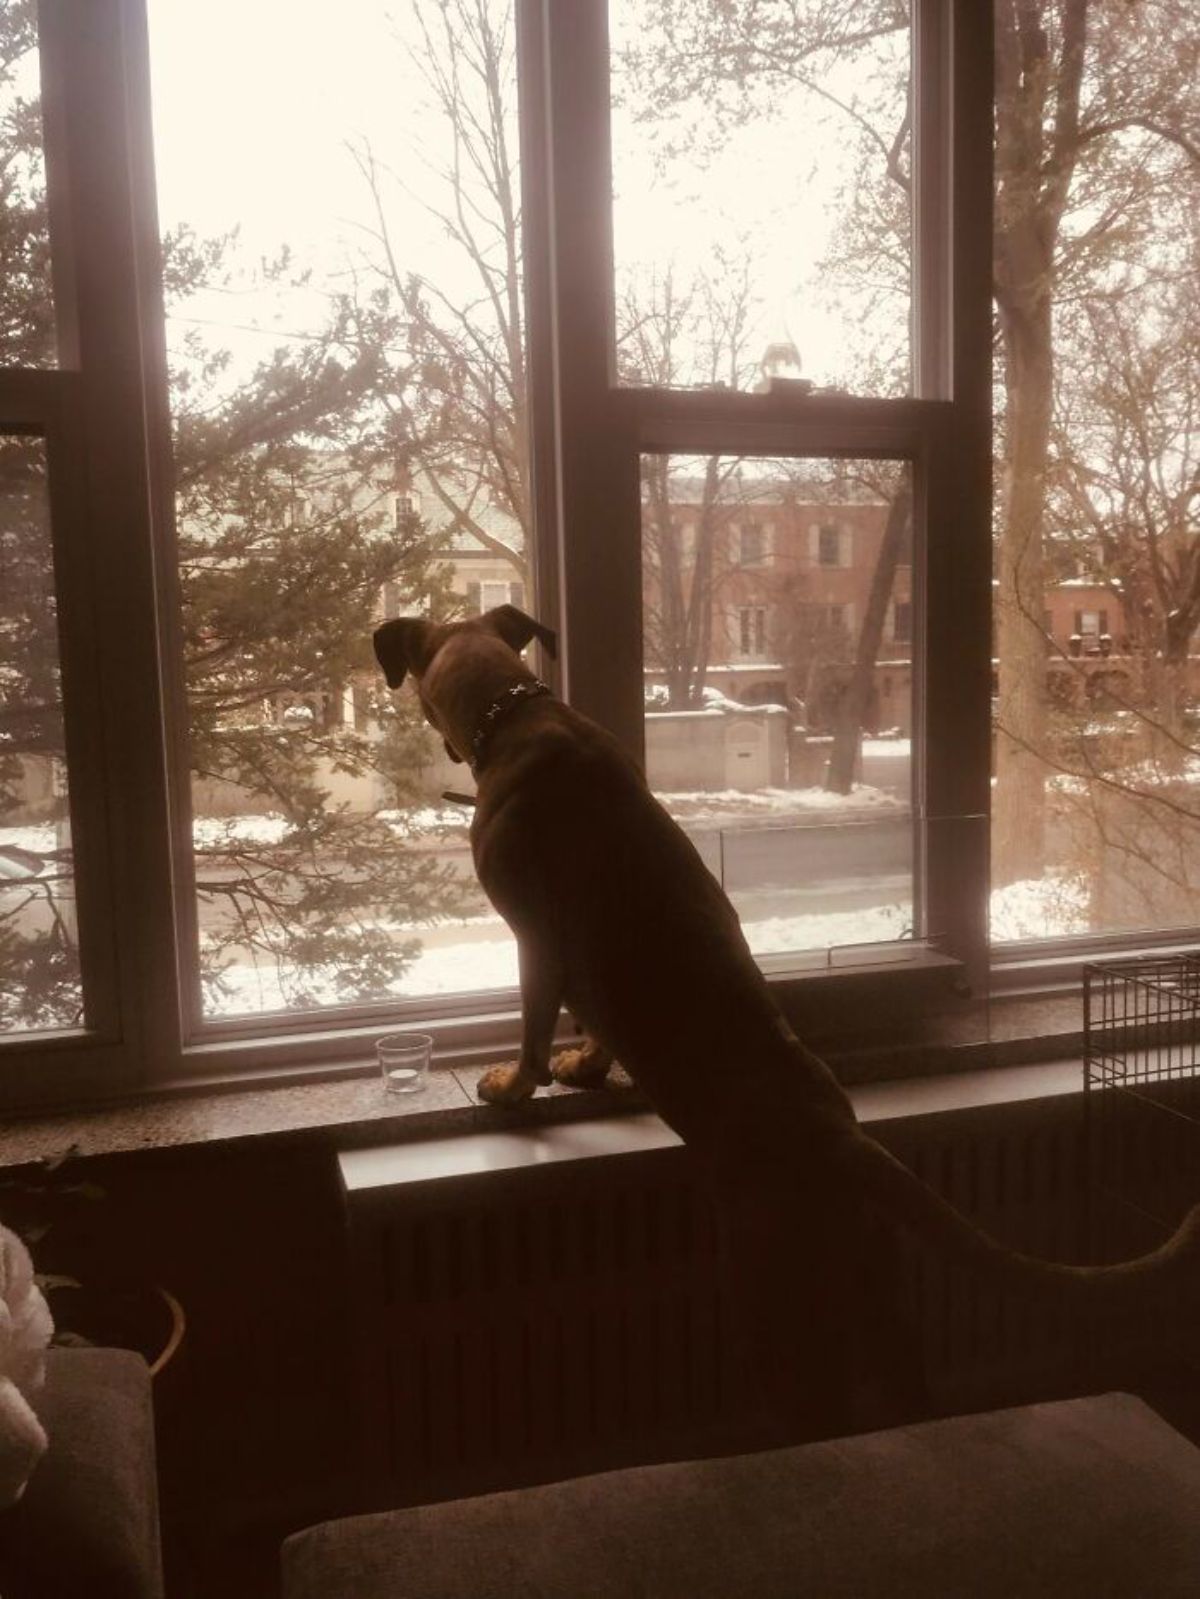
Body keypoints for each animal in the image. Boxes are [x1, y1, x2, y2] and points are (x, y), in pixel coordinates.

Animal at [376, 604, 1200, 1317]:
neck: (513, 711)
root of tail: (841, 1136)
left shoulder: (538, 939)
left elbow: (534, 1030)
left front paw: (517, 1085)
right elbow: (595, 1021)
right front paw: (587, 1065)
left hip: (771, 1275)